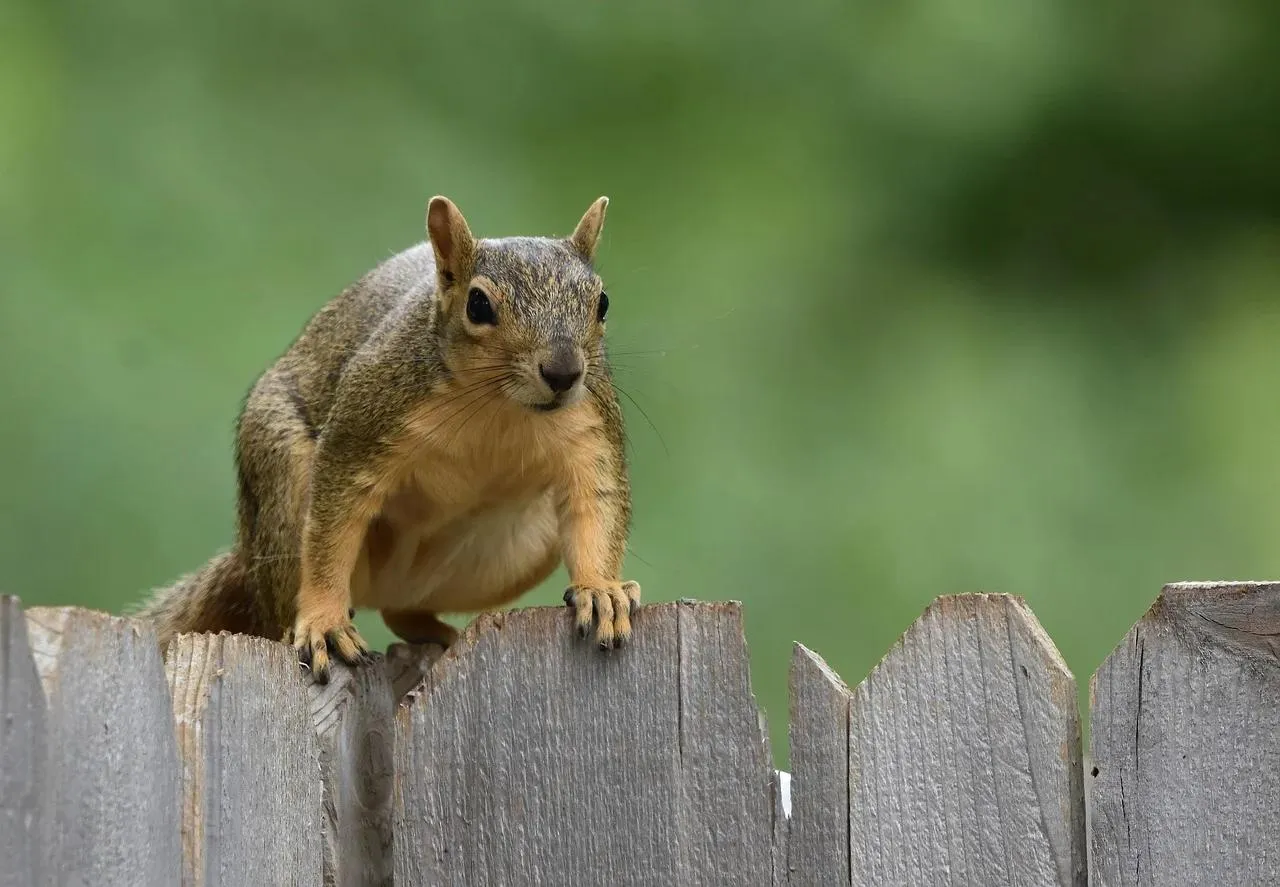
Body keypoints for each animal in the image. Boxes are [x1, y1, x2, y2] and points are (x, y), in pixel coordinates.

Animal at [135, 195, 640, 682]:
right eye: (478, 305)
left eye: (603, 303)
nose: (563, 373)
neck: (498, 406)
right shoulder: (365, 422)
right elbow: (334, 523)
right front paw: (324, 619)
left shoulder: (590, 428)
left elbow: (596, 504)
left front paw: (601, 590)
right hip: (282, 490)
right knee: (283, 610)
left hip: (515, 552)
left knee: (402, 612)